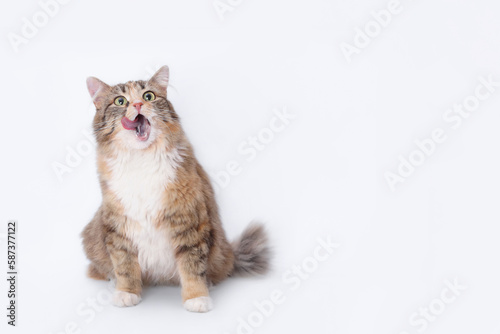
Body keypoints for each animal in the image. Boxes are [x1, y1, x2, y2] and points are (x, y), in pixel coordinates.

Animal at [81, 66, 270, 314]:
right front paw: (126, 293)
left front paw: (197, 297)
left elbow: (192, 267)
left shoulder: (189, 221)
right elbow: (125, 266)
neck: (141, 159)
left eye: (148, 96)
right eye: (120, 101)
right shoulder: (118, 225)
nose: (138, 105)